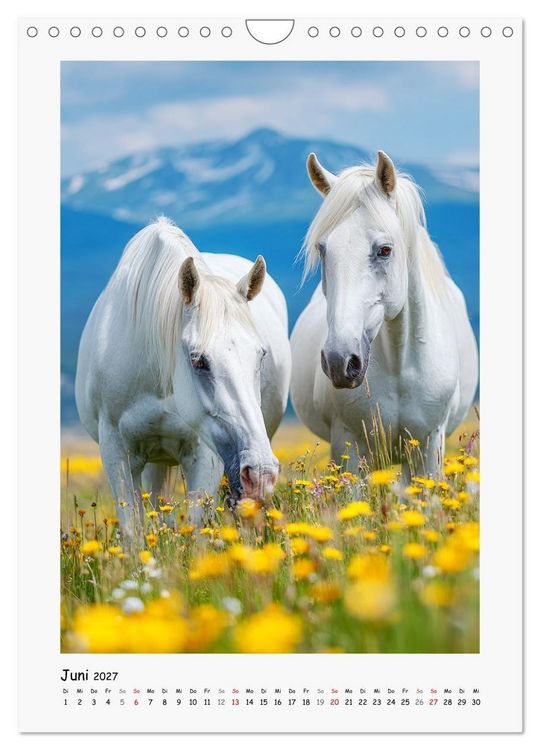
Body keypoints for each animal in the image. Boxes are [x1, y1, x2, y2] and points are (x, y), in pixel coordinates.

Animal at [75, 217, 291, 536]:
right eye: (199, 360)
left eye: (261, 355)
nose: (261, 473)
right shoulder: (116, 451)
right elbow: (133, 530)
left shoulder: (205, 454)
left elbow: (196, 528)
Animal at [290, 150, 478, 478]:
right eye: (323, 250)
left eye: (385, 250)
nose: (340, 361)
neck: (401, 367)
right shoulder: (350, 449)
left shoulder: (429, 449)